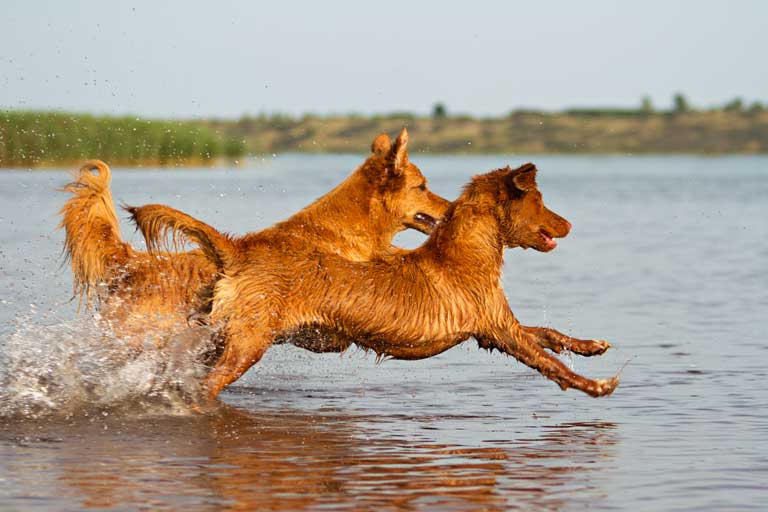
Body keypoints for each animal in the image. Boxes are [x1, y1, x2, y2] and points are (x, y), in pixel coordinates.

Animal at [135, 162, 620, 398]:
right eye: (540, 199)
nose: (570, 225)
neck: (467, 251)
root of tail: (238, 250)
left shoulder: (489, 329)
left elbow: (550, 334)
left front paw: (592, 346)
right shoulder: (499, 328)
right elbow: (548, 361)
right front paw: (596, 386)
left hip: (219, 333)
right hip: (247, 343)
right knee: (207, 385)